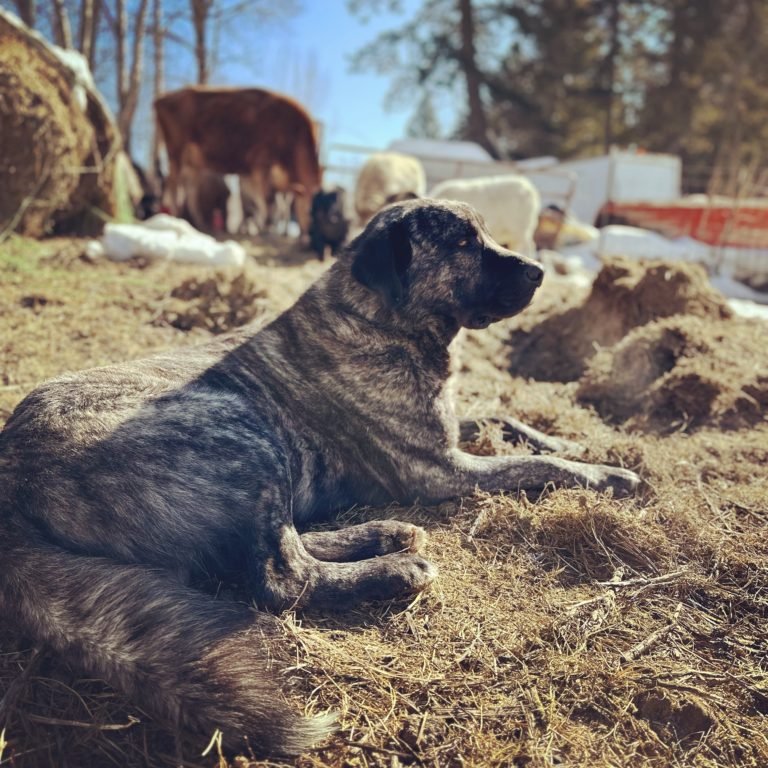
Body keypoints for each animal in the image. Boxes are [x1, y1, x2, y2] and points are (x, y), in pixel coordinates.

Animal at [0, 198, 640, 756]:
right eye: (463, 243)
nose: (538, 271)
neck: (376, 318)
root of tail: (11, 468)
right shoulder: (437, 468)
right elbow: (535, 465)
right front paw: (607, 474)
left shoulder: (448, 435)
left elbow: (511, 422)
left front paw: (582, 442)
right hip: (242, 428)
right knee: (283, 576)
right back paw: (393, 568)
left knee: (282, 544)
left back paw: (385, 535)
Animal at [154, 86, 322, 237]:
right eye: (310, 211)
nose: (311, 237)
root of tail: (161, 99)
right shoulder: (261, 164)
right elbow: (266, 201)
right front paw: (265, 229)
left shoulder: (255, 176)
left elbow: (266, 205)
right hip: (176, 149)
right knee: (173, 183)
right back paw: (176, 218)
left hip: (192, 162)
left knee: (190, 191)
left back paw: (199, 224)